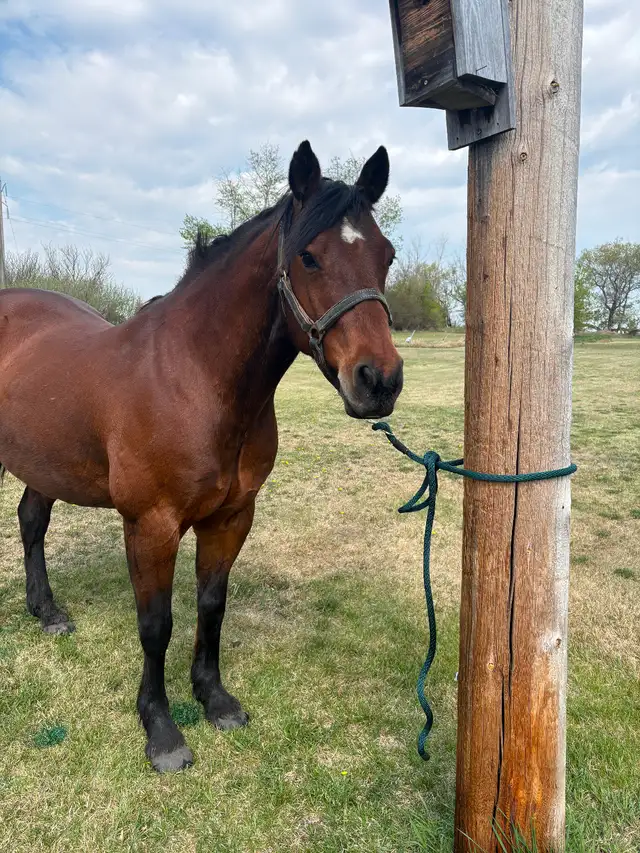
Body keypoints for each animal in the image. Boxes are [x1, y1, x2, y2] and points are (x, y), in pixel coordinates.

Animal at [0, 140, 403, 772]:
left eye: (386, 256)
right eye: (309, 257)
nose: (379, 381)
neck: (193, 378)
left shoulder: (232, 516)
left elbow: (212, 604)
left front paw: (214, 699)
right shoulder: (151, 524)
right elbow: (155, 624)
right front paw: (161, 729)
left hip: (44, 460)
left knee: (31, 520)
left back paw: (47, 612)